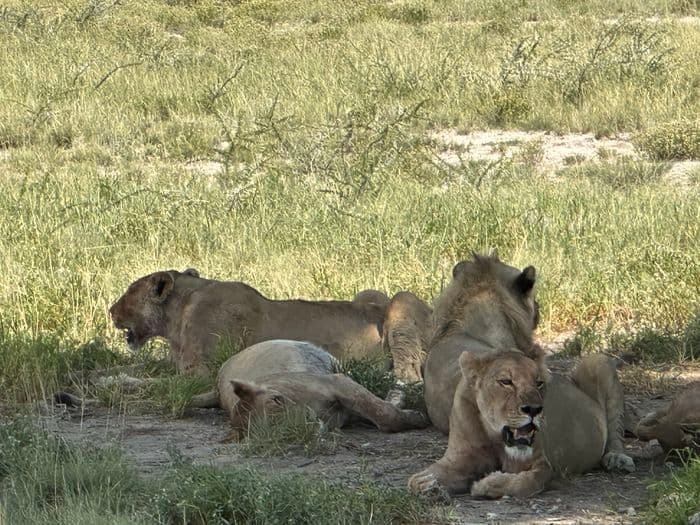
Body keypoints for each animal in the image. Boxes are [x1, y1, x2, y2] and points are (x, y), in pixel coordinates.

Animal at [191, 339, 429, 434]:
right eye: (280, 429)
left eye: (277, 401)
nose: (307, 422)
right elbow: (382, 414)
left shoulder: (337, 382)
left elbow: (383, 412)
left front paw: (417, 417)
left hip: (337, 364)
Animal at [408, 254, 634, 498]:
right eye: (505, 382)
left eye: (539, 382)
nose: (540, 307)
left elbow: (524, 480)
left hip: (598, 362)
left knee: (615, 428)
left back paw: (618, 458)